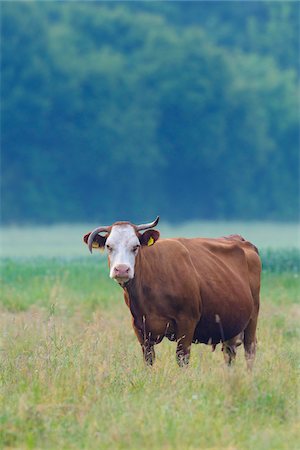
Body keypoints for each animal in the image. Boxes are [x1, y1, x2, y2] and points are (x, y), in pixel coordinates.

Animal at [83, 217, 262, 370]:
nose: (121, 269)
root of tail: (240, 240)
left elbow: (182, 358)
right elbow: (148, 359)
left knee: (250, 350)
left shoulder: (187, 322)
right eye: (109, 246)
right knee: (229, 353)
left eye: (136, 246)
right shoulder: (140, 327)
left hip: (252, 317)